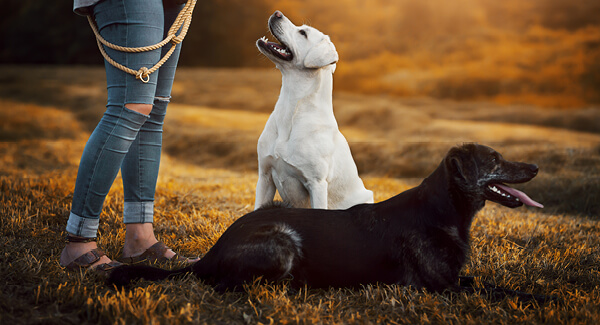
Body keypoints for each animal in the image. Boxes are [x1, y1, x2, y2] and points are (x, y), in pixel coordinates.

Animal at [109, 144, 544, 292]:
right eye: (495, 159)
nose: (536, 167)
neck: (443, 210)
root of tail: (209, 254)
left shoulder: (455, 280)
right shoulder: (442, 289)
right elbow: (501, 291)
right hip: (282, 239)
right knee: (226, 285)